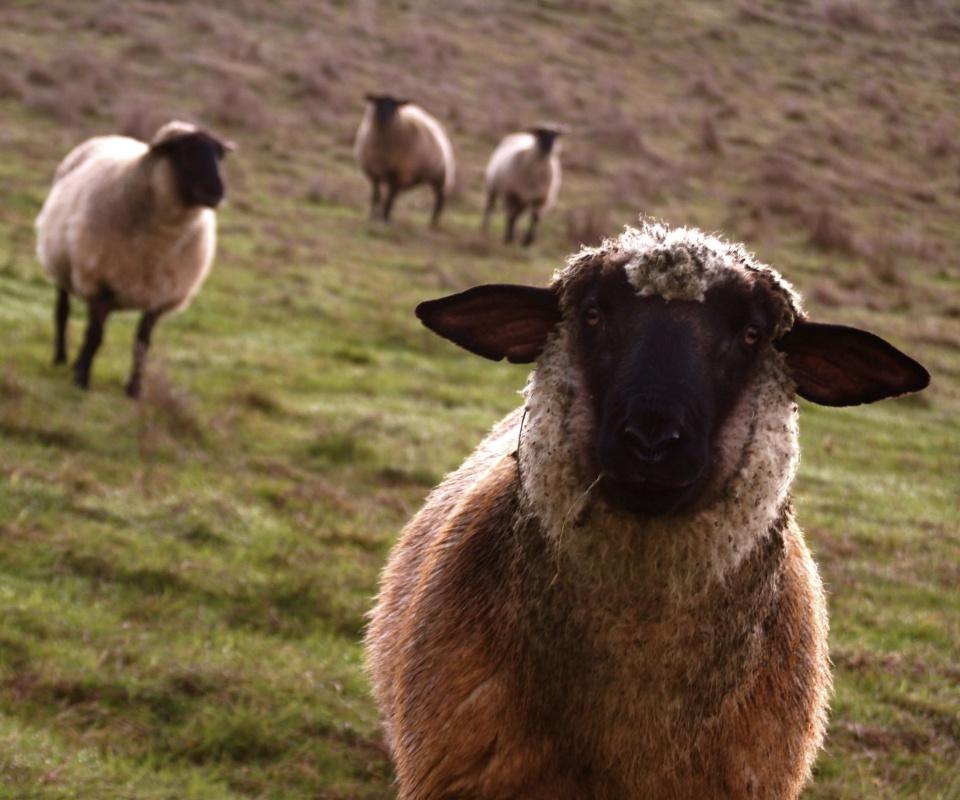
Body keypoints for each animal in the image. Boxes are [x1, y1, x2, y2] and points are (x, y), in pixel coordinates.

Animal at [35, 119, 232, 400]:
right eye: (187, 152)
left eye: (219, 156)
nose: (217, 192)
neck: (160, 241)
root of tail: (112, 136)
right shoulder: (99, 282)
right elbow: (94, 335)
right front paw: (82, 380)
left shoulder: (160, 296)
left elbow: (142, 344)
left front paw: (134, 389)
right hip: (61, 266)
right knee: (62, 313)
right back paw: (61, 358)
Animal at [354, 96, 456, 231]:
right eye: (378, 104)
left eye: (395, 106)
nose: (384, 120)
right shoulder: (374, 171)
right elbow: (377, 195)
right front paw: (373, 215)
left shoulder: (399, 173)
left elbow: (389, 198)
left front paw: (384, 217)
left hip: (440, 177)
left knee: (439, 200)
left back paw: (433, 224)